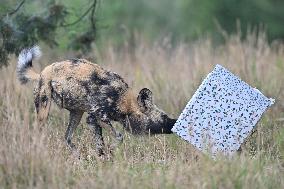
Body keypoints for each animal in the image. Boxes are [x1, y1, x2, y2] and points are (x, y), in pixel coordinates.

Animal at [16, 45, 176, 155]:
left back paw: (78, 156)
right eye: (163, 117)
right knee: (39, 133)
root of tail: (41, 74)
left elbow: (100, 143)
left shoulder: (93, 121)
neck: (124, 102)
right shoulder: (98, 117)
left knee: (67, 138)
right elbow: (119, 137)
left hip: (77, 113)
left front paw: (103, 156)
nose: (174, 122)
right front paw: (109, 151)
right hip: (43, 112)